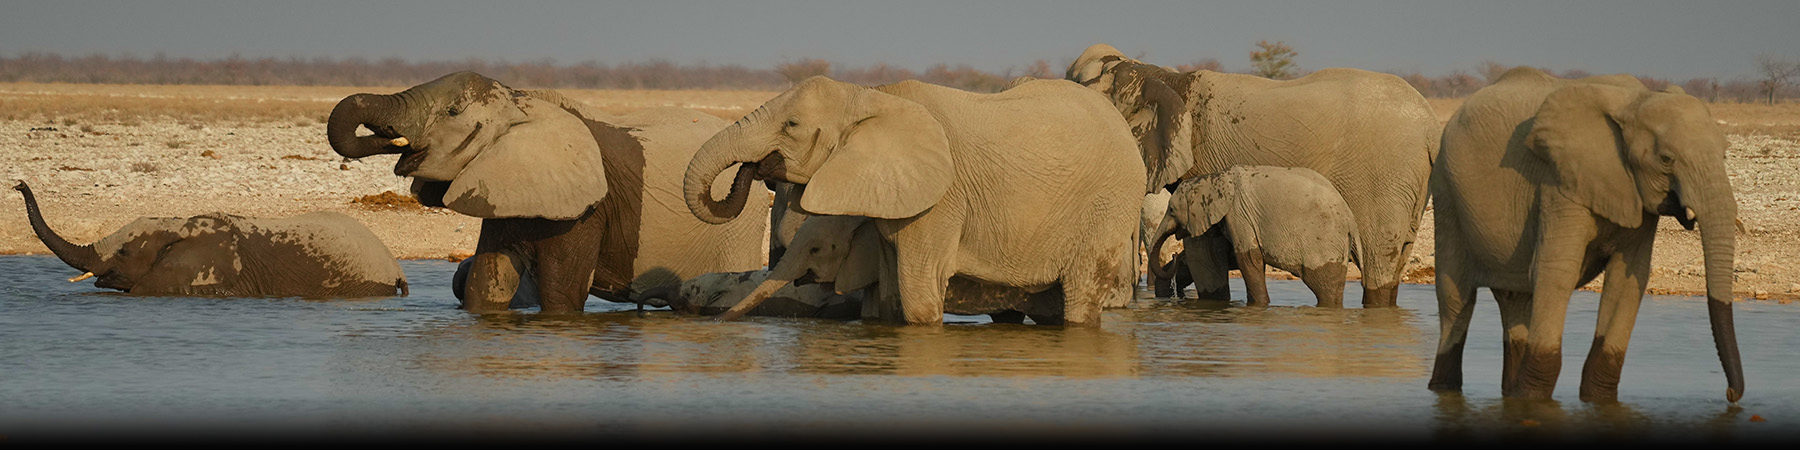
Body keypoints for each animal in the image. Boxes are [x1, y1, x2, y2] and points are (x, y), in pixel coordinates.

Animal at [326, 71, 769, 313]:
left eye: (452, 113)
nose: (396, 144)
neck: (522, 102)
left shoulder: (587, 208)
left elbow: (561, 296)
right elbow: (487, 283)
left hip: (737, 231)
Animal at [684, 76, 1144, 326]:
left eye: (791, 125)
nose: (756, 168)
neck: (872, 95)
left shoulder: (941, 197)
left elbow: (920, 292)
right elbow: (889, 296)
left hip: (1108, 206)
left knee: (1080, 296)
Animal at [1145, 166, 1360, 307]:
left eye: (1171, 210)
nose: (1173, 256)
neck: (1216, 178)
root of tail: (1351, 221)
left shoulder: (1239, 215)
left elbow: (1247, 258)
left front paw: (1259, 306)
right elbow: (1228, 256)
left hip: (1324, 245)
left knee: (1324, 288)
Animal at [1429, 67, 1743, 403]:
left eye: (1725, 155)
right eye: (1666, 159)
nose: (1729, 394)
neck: (1636, 101)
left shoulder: (1634, 195)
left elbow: (1628, 278)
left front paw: (1596, 400)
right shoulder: (1560, 181)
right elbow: (1557, 270)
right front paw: (1534, 402)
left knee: (1517, 302)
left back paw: (1510, 394)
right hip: (1447, 191)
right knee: (1457, 299)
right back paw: (1445, 389)